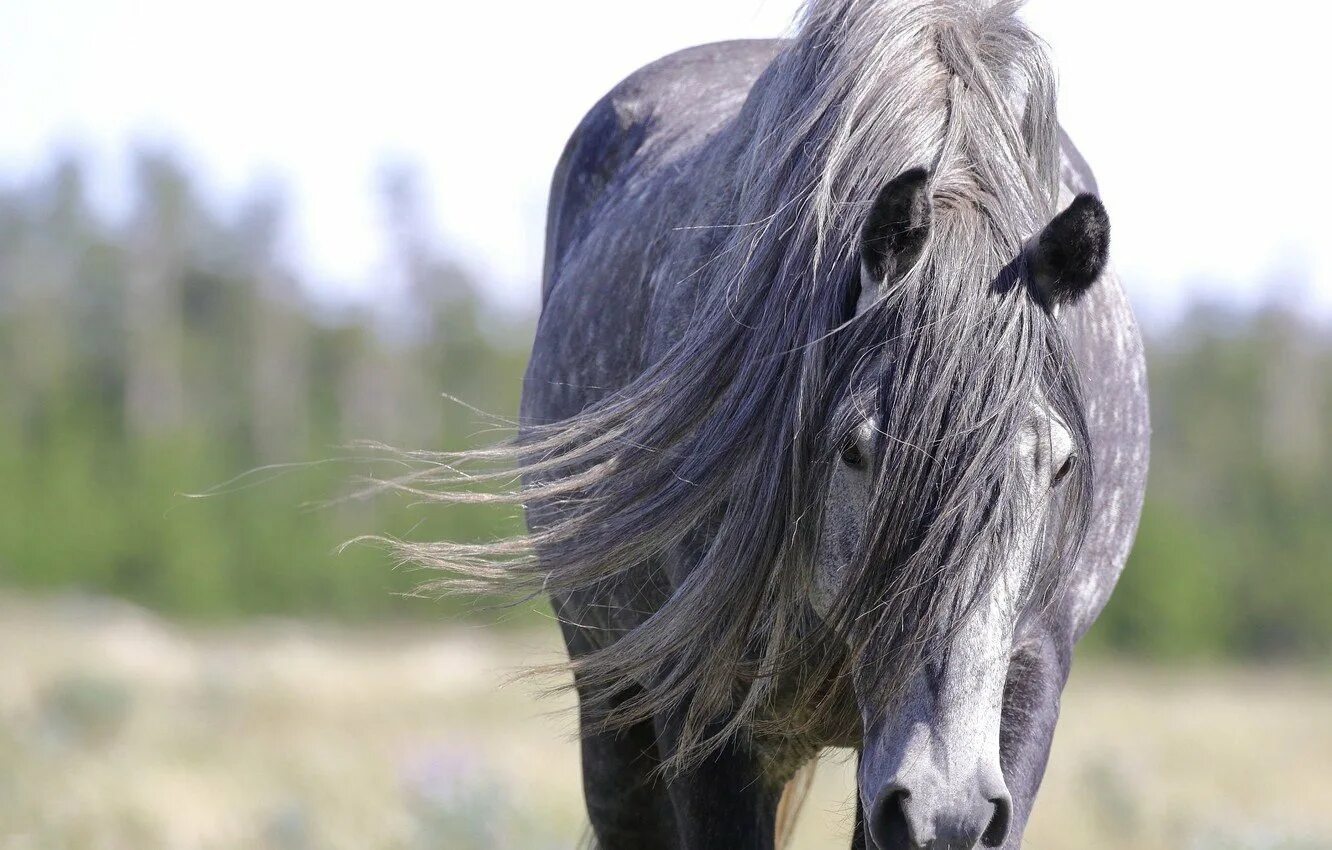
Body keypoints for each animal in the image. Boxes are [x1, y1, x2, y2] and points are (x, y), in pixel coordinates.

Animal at [388, 1, 1150, 850]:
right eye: (856, 450)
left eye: (1059, 464)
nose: (946, 813)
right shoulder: (705, 710)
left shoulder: (1026, 685)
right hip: (616, 709)